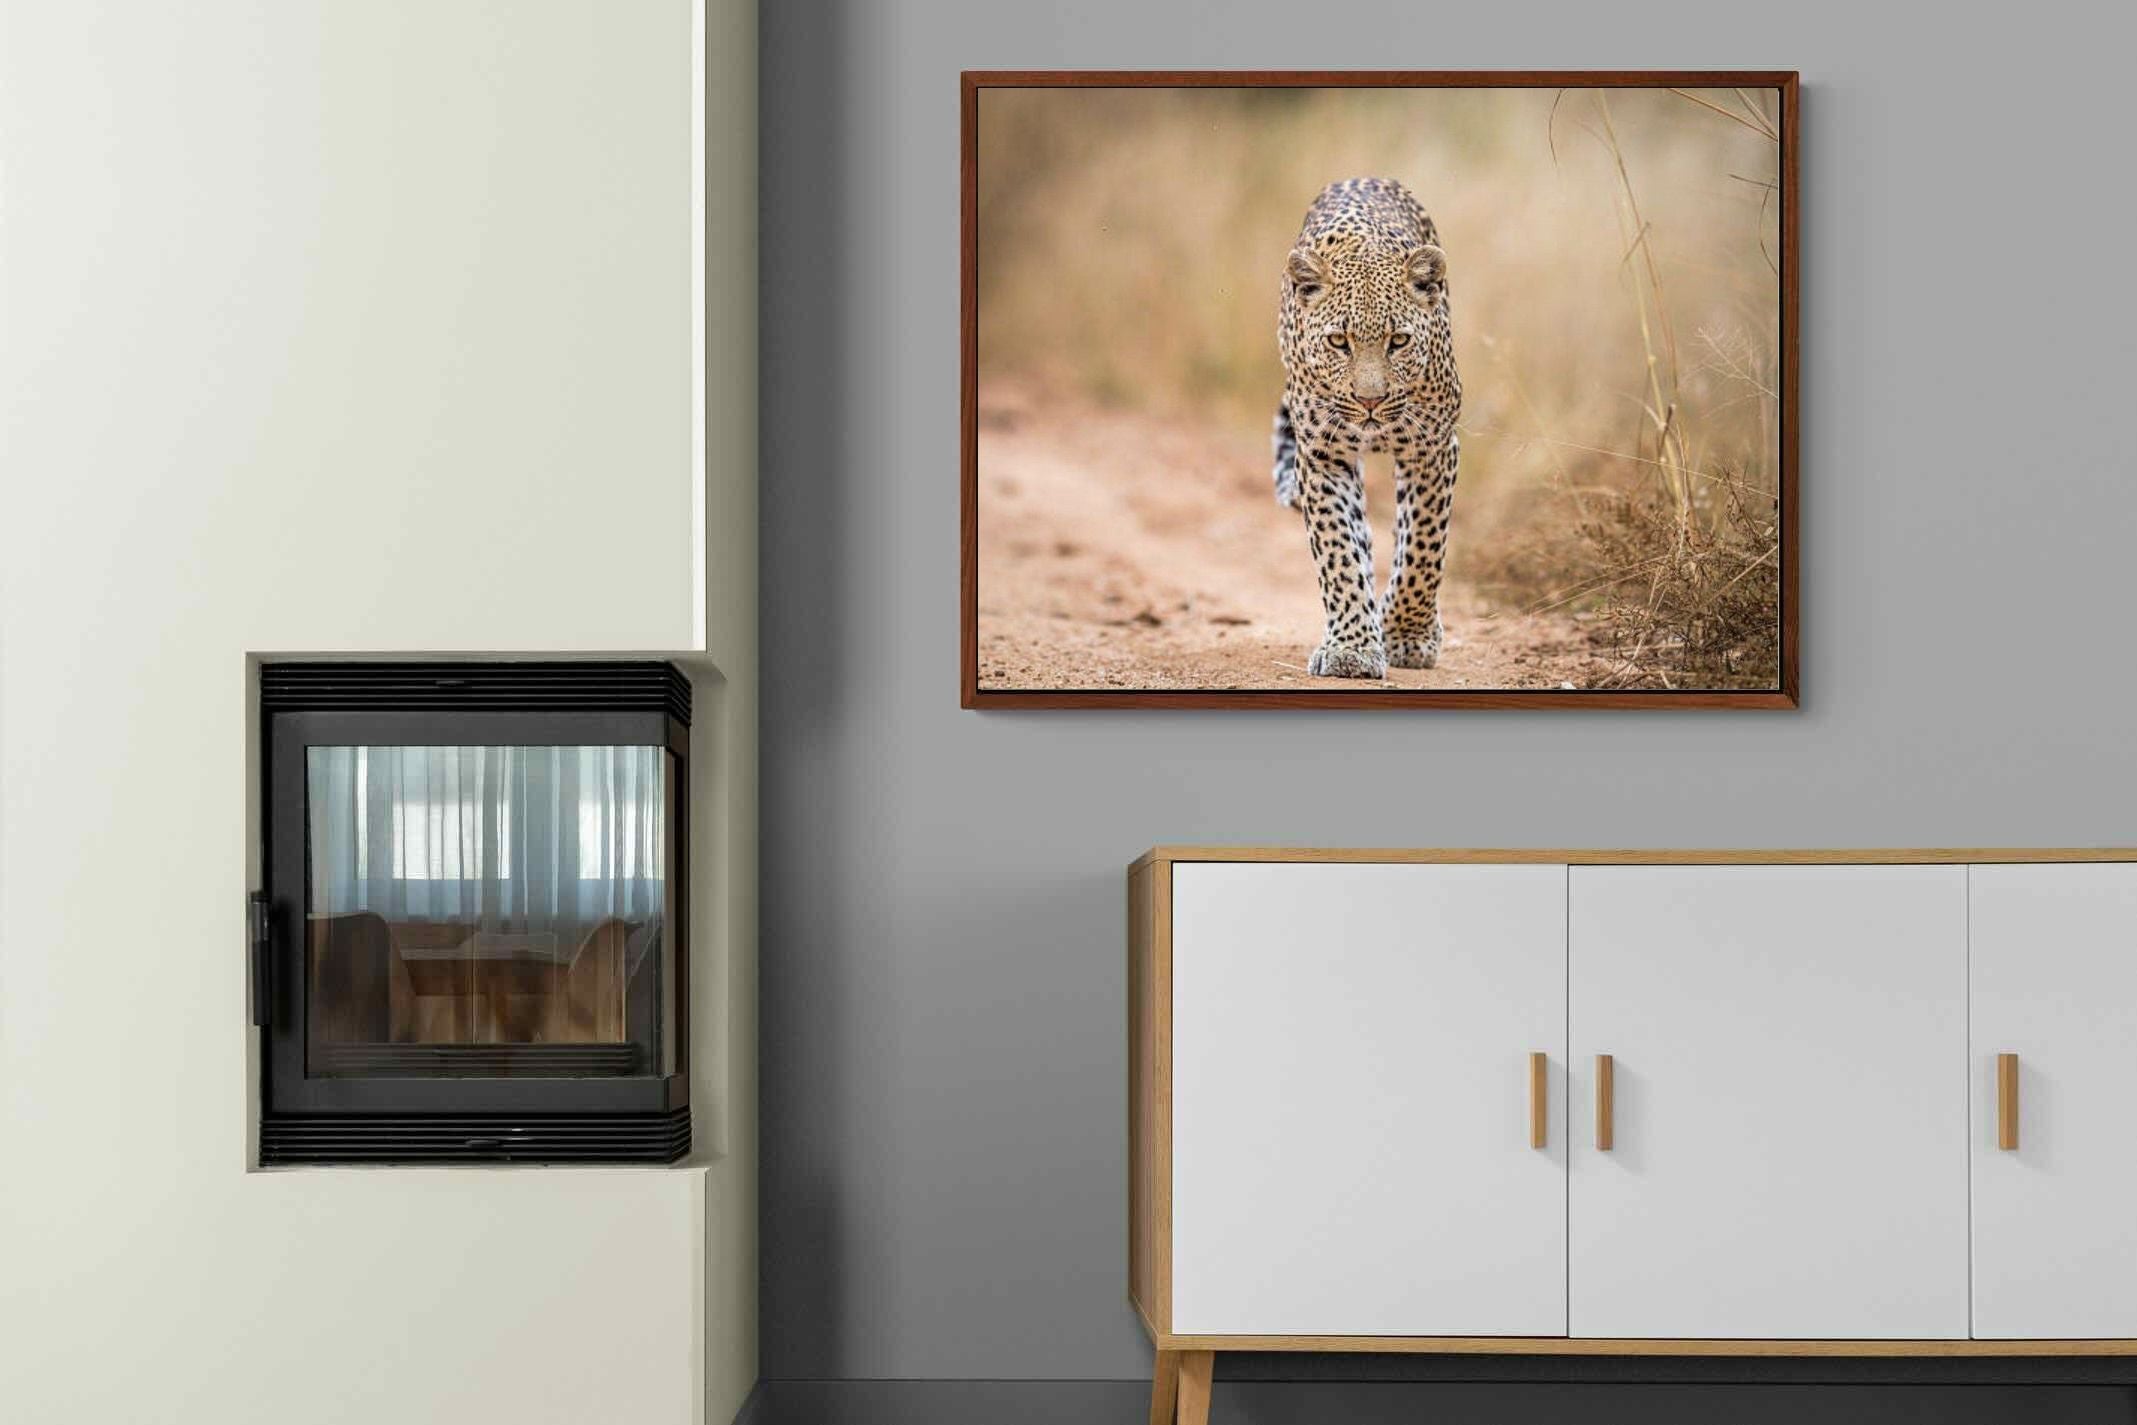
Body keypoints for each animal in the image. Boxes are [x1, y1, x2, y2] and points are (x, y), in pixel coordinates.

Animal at [1273, 177, 1462, 679]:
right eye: (1340, 342)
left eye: (1399, 341)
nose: (1370, 401)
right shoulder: (1323, 456)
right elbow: (1338, 551)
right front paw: (1352, 648)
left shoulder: (1433, 447)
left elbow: (1422, 547)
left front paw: (1408, 636)